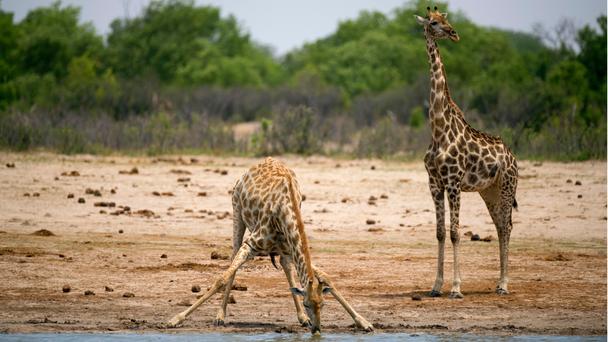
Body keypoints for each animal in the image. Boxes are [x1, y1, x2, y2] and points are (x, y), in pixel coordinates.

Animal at [167, 157, 376, 334]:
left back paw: (302, 318)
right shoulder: (250, 244)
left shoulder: (290, 247)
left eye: (323, 304)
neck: (285, 209)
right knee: (233, 260)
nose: (317, 330)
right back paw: (220, 316)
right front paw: (176, 319)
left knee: (285, 266)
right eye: (307, 303)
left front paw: (364, 322)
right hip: (237, 213)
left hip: (282, 249)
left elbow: (327, 277)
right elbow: (222, 279)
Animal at [416, 6, 520, 298]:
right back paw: (498, 282)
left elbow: (455, 232)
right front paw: (436, 286)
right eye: (433, 22)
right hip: (489, 191)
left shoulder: (453, 182)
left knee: (507, 225)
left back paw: (504, 284)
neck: (438, 129)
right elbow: (440, 232)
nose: (454, 33)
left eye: (446, 20)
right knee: (500, 226)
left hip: (507, 186)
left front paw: (456, 288)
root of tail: (513, 158)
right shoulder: (434, 183)